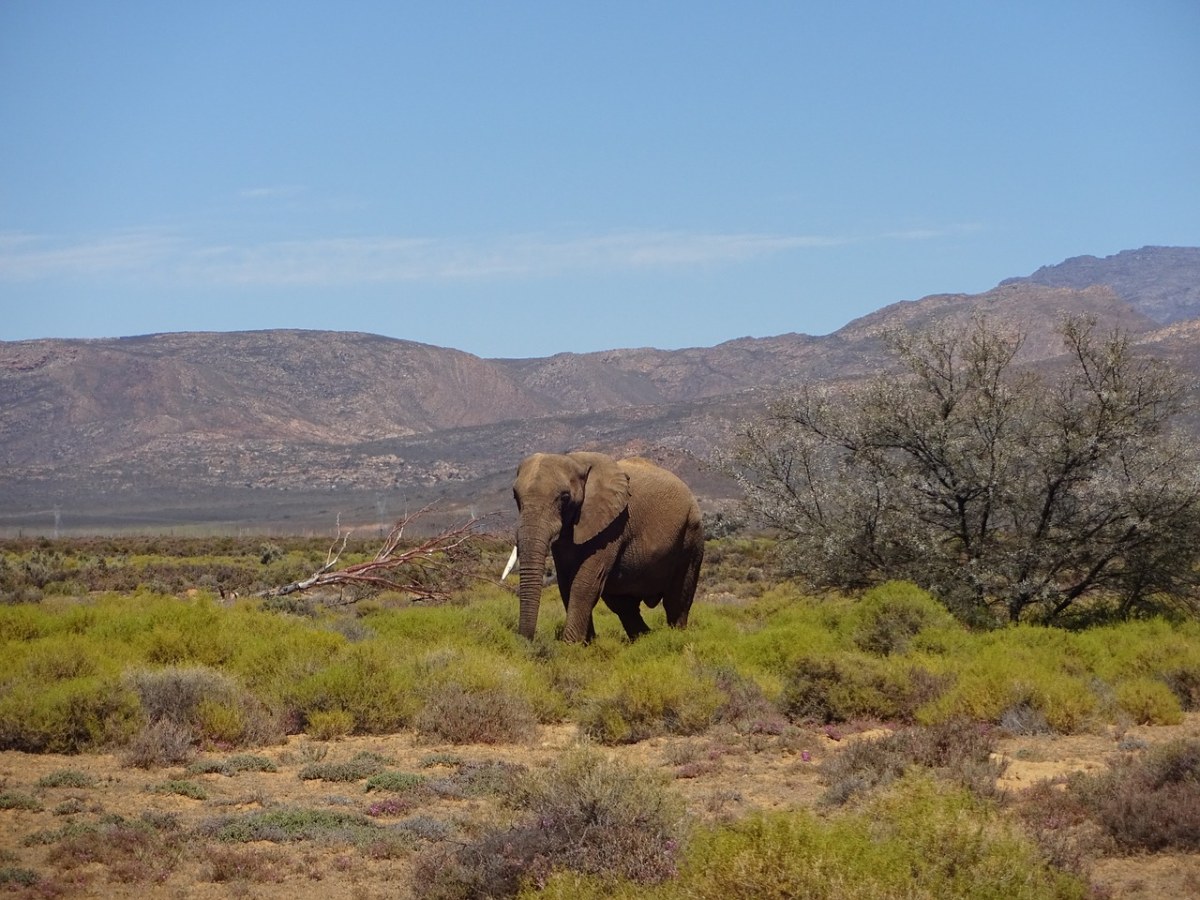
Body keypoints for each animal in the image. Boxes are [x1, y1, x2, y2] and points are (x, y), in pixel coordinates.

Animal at [508, 453, 700, 643]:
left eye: (565, 497)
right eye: (515, 496)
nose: (525, 641)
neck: (576, 462)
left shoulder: (613, 524)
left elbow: (584, 583)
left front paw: (570, 646)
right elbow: (566, 583)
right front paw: (587, 644)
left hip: (691, 533)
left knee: (677, 600)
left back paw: (675, 637)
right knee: (624, 606)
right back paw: (645, 639)